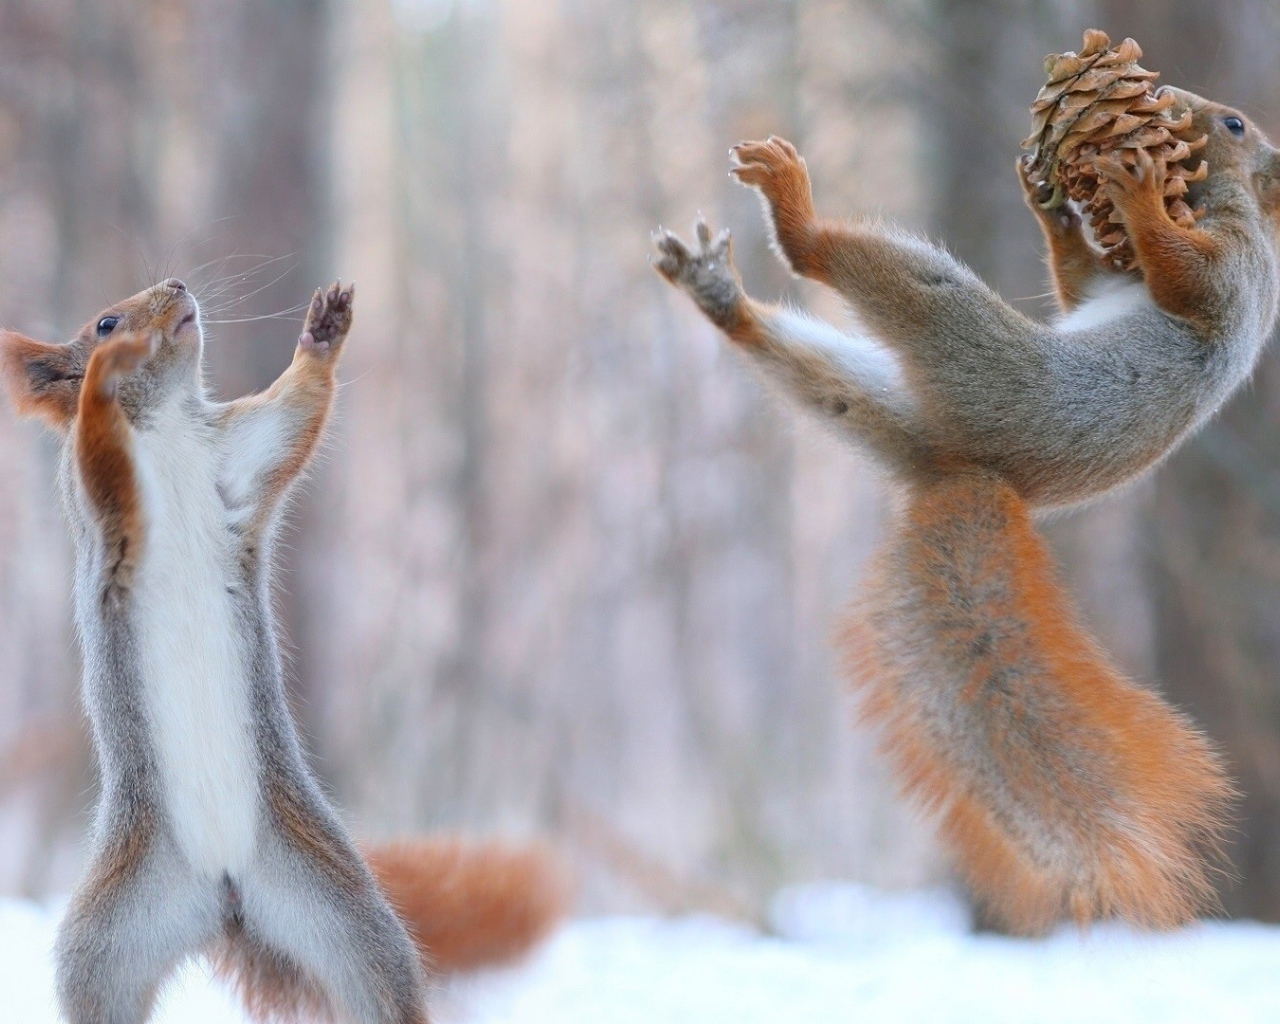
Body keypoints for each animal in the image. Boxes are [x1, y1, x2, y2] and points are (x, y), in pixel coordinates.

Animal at [0, 280, 568, 1024]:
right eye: (104, 321)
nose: (178, 287)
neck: (164, 425)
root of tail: (224, 892)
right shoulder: (100, 498)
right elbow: (99, 445)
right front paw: (104, 374)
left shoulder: (239, 455)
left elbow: (294, 414)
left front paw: (323, 332)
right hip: (108, 939)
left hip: (335, 905)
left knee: (377, 980)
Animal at [650, 85, 1280, 926]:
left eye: (1236, 124)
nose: (1176, 103)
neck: (1225, 202)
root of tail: (968, 471)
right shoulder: (1114, 283)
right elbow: (1082, 284)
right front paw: (1054, 208)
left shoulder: (1236, 270)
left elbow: (1184, 279)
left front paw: (1140, 193)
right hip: (877, 399)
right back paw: (721, 297)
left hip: (966, 342)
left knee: (848, 266)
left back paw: (794, 213)